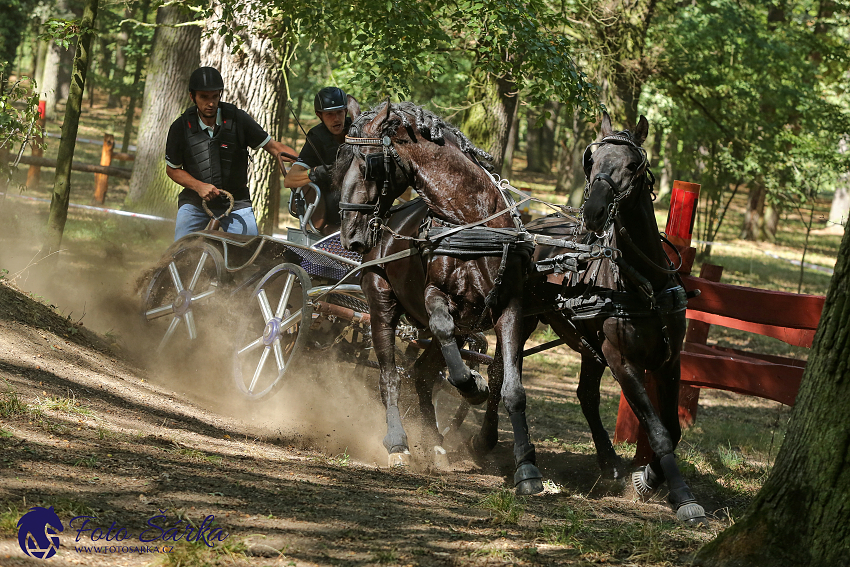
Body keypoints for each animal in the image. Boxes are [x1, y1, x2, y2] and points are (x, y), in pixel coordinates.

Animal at [332, 103, 540, 496]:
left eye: (367, 164)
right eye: (340, 163)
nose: (350, 235)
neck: (471, 221)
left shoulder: (509, 308)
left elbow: (511, 387)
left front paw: (526, 467)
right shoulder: (437, 297)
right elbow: (443, 330)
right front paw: (471, 385)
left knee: (422, 373)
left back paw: (436, 443)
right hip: (382, 304)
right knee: (390, 376)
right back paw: (399, 443)